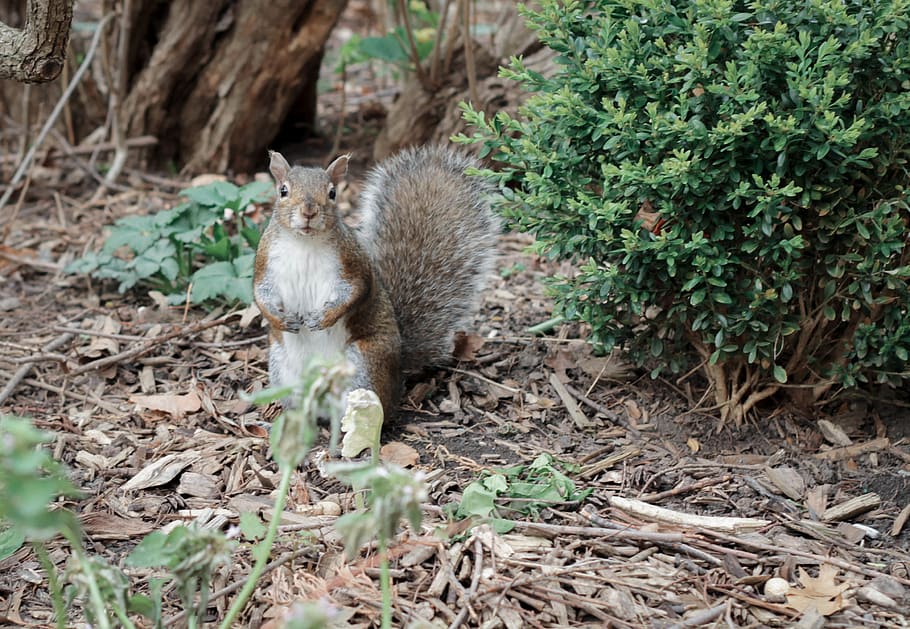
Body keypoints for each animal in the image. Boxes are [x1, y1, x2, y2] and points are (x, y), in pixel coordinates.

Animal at [253, 145, 499, 419]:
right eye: (283, 191)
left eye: (332, 193)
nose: (308, 211)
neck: (304, 243)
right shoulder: (265, 264)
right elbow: (260, 295)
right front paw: (280, 319)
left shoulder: (353, 265)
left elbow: (355, 292)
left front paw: (323, 317)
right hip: (282, 369)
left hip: (364, 364)